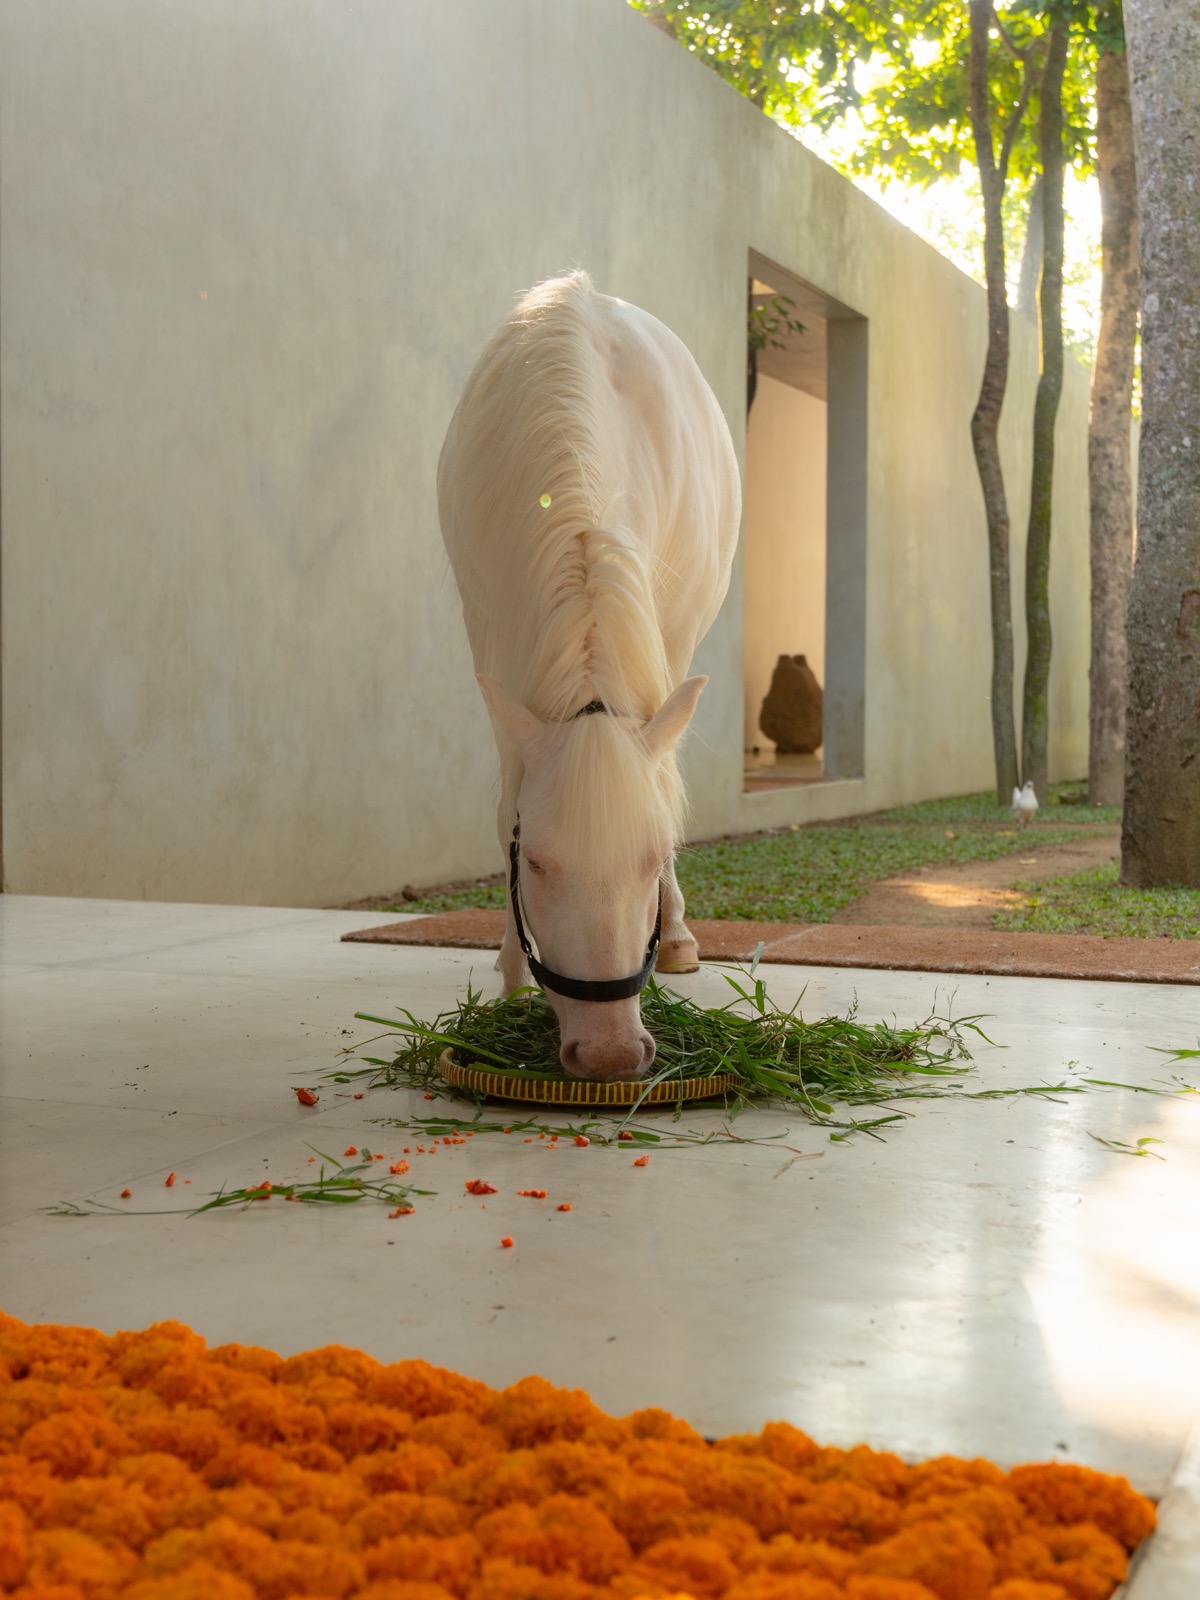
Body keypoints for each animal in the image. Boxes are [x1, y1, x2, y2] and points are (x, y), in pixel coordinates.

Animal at [437, 272, 741, 1081]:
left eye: (653, 859)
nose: (607, 1053)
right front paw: (513, 974)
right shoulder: (490, 636)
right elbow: (504, 798)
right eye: (537, 862)